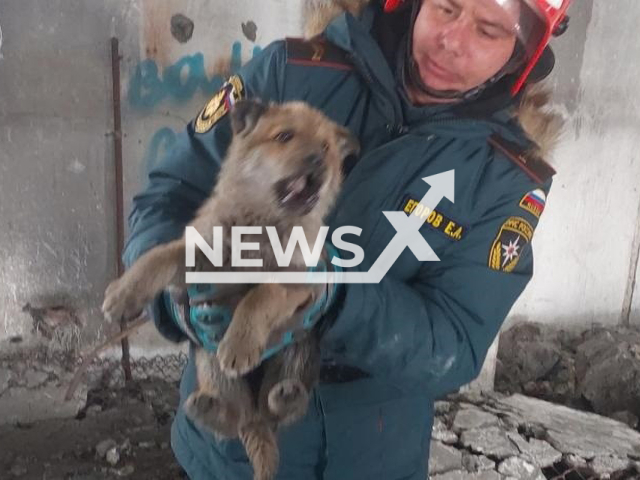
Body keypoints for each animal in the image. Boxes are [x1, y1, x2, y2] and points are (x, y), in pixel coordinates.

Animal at [102, 98, 358, 480]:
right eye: (284, 136)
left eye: (327, 148)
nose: (318, 161)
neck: (262, 224)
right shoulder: (200, 256)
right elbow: (160, 255)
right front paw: (123, 294)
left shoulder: (299, 281)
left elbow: (260, 294)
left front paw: (240, 343)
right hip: (208, 361)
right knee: (235, 418)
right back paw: (208, 407)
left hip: (299, 346)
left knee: (278, 409)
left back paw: (286, 396)